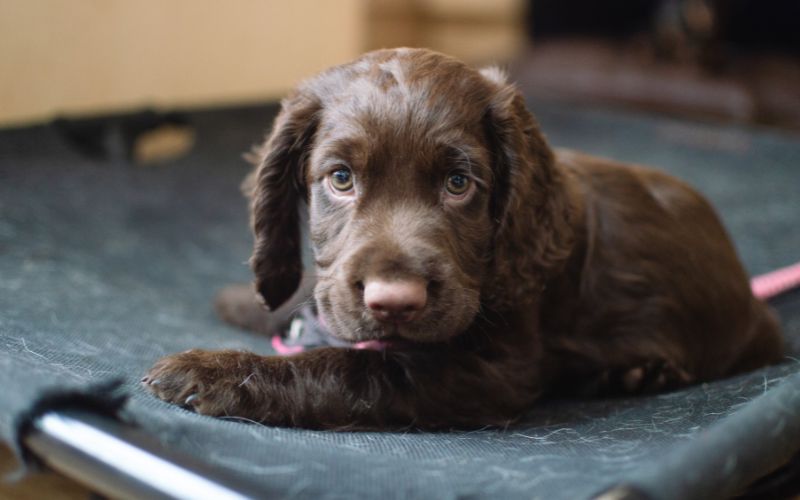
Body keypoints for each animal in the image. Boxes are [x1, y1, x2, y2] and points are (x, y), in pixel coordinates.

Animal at [142, 47, 780, 430]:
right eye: (341, 179)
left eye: (458, 184)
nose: (394, 303)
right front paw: (243, 304)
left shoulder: (491, 372)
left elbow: (352, 368)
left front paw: (213, 372)